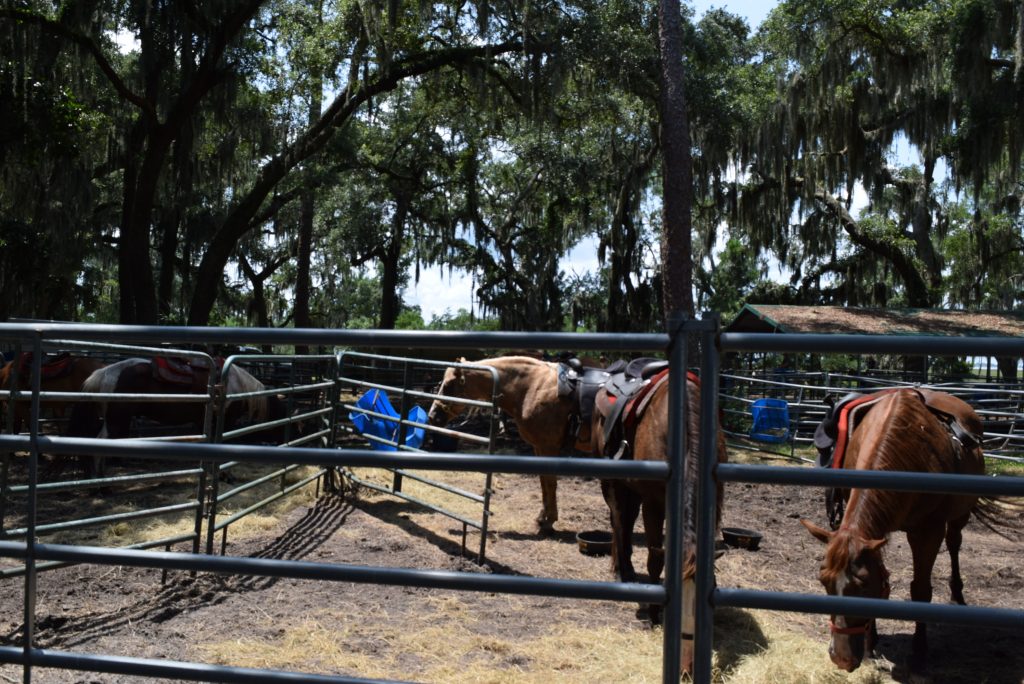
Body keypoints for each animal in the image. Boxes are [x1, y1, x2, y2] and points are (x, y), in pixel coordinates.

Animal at [428, 358, 598, 532]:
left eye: (448, 385)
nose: (432, 416)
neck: (534, 387)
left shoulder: (548, 447)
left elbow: (550, 483)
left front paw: (549, 521)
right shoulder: (539, 447)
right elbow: (543, 483)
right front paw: (542, 518)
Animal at [593, 370, 729, 675]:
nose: (687, 668)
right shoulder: (654, 503)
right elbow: (655, 559)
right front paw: (655, 614)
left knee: (624, 520)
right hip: (612, 482)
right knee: (618, 521)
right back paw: (621, 570)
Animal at [798, 387, 991, 671]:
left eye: (863, 586)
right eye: (824, 581)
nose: (841, 659)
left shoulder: (927, 531)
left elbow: (920, 590)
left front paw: (919, 654)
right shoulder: (875, 533)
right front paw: (871, 647)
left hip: (960, 514)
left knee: (954, 542)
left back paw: (957, 595)